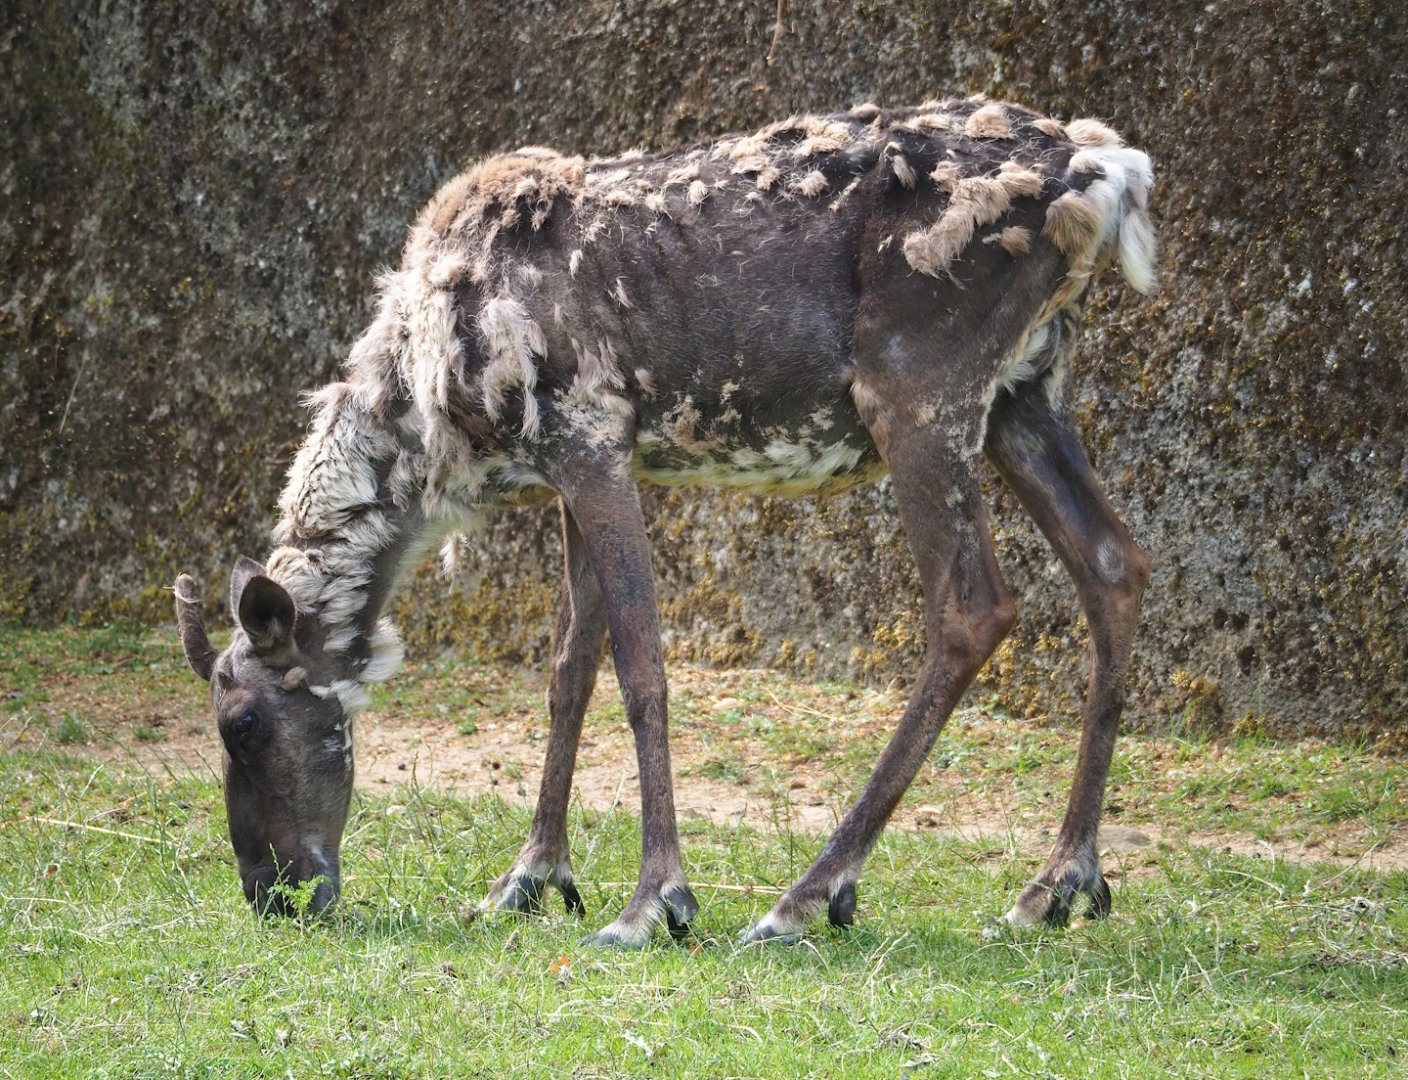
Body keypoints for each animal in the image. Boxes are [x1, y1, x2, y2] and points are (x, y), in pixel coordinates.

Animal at [174, 96, 1156, 946]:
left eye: (242, 724)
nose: (273, 892)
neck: (431, 424)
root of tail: (1106, 172)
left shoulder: (592, 439)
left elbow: (642, 666)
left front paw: (654, 902)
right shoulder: (571, 469)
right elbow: (569, 670)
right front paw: (530, 877)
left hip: (920, 389)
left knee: (975, 606)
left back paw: (806, 895)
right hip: (1026, 389)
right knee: (1115, 563)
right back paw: (1059, 883)